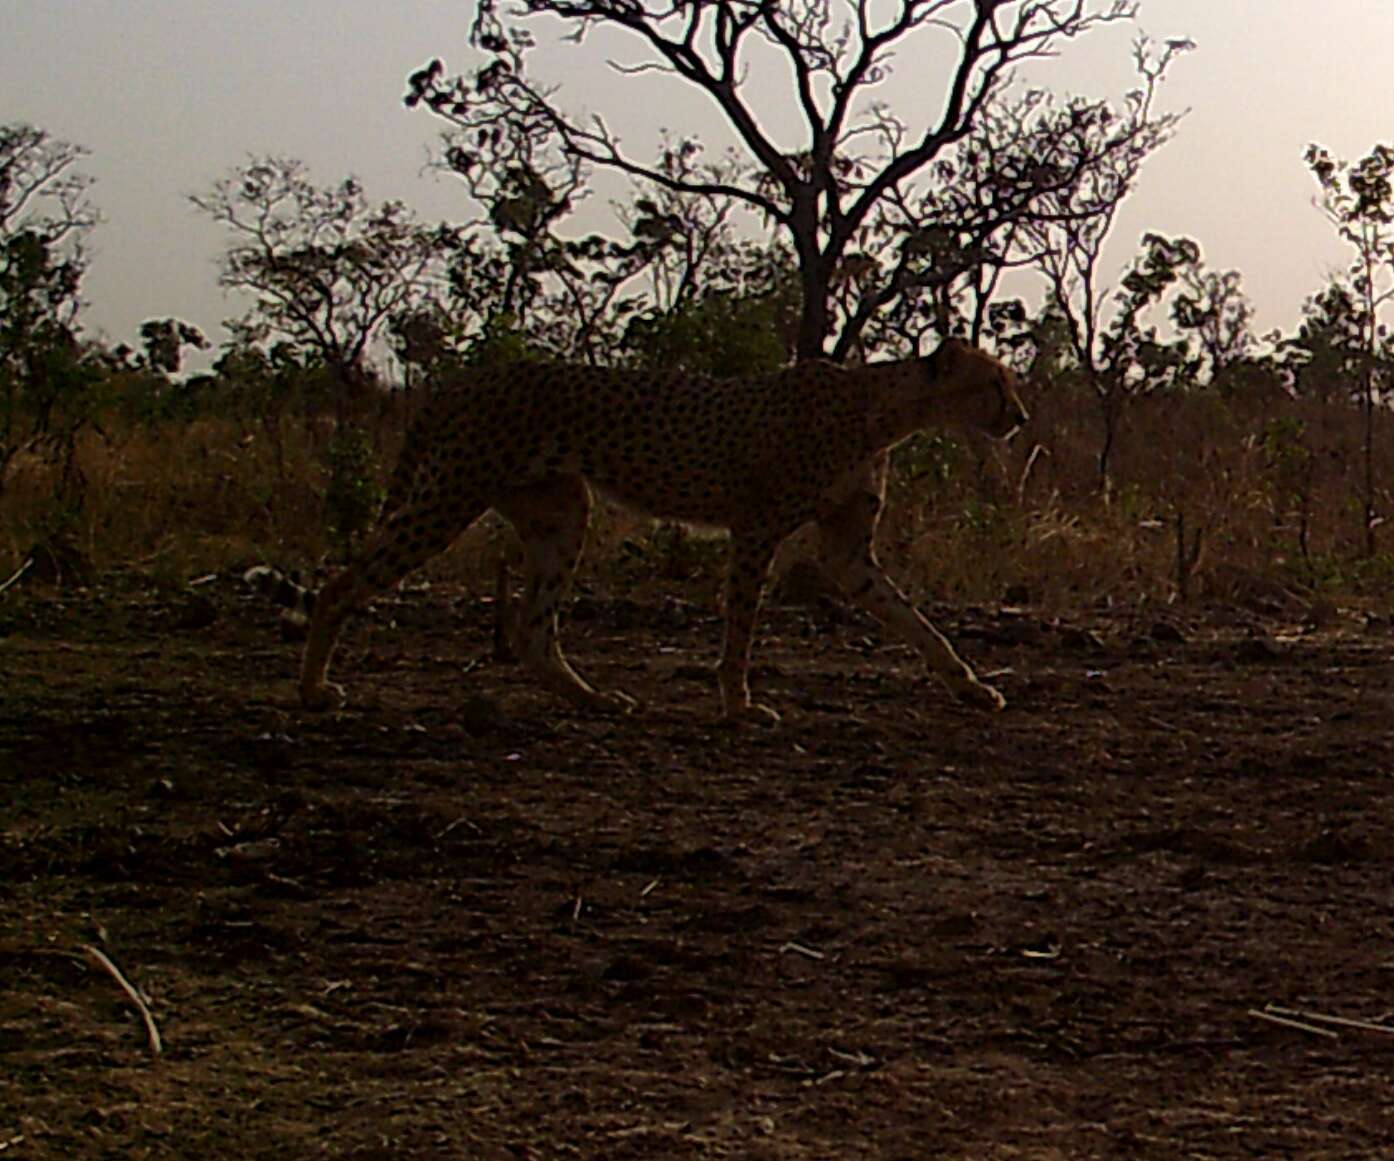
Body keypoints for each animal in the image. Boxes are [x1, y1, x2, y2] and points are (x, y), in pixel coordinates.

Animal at [299, 334, 1031, 719]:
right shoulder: (757, 526)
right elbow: (741, 623)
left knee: (534, 631)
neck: (884, 410)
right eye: (993, 385)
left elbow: (914, 618)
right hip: (449, 497)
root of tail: (463, 378)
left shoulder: (848, 552)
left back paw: (592, 698)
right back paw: (311, 688)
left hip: (562, 508)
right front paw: (738, 704)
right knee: (340, 584)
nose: (1020, 417)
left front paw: (969, 683)